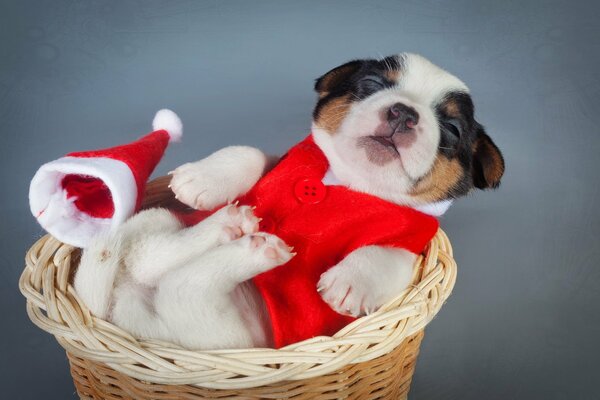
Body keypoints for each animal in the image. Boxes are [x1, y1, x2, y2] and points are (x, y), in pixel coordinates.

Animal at [75, 52, 506, 350]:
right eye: (370, 84)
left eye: (451, 130)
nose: (403, 113)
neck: (346, 181)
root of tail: (121, 309)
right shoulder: (285, 159)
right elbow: (253, 155)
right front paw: (204, 178)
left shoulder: (416, 235)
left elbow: (387, 253)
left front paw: (350, 280)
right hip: (166, 228)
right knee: (155, 262)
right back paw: (230, 227)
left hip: (227, 334)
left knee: (182, 285)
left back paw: (250, 244)